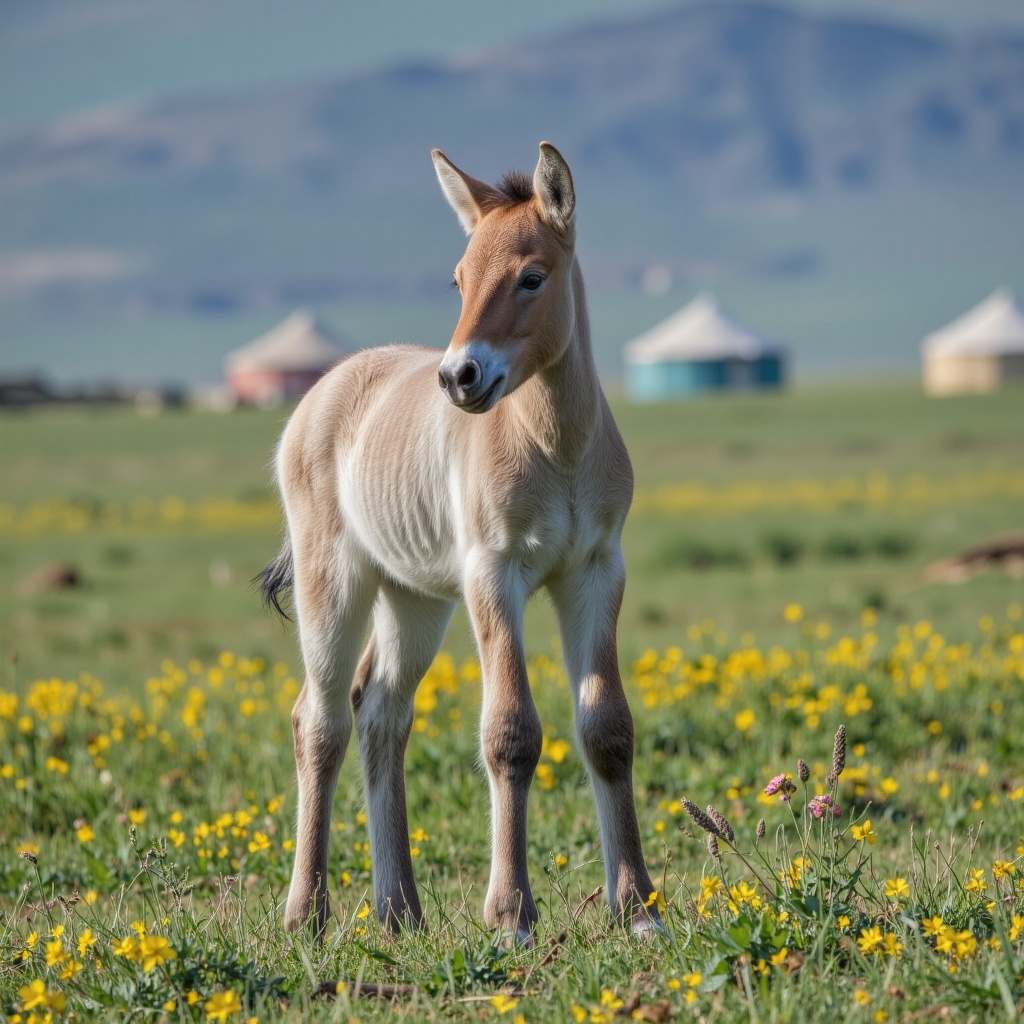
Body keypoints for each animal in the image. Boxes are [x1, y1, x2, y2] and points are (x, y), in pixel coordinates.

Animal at [259, 142, 659, 942]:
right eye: (460, 279)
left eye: (532, 276)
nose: (459, 375)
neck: (555, 450)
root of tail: (322, 392)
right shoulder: (492, 574)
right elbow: (510, 731)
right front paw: (511, 914)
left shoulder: (596, 572)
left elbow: (607, 727)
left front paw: (637, 908)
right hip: (334, 585)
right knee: (319, 720)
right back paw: (306, 913)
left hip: (413, 600)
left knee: (380, 712)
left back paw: (399, 911)